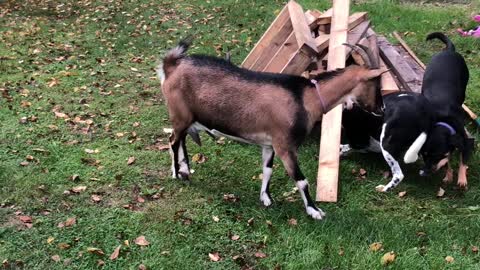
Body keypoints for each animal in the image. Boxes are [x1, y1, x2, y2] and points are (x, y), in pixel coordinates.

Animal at [156, 38, 388, 219]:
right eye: (376, 84)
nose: (382, 109)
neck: (306, 98)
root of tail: (171, 66)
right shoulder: (285, 145)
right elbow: (301, 180)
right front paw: (314, 211)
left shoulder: (269, 144)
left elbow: (267, 170)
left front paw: (265, 198)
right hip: (180, 115)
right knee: (173, 140)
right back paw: (176, 173)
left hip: (186, 118)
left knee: (181, 139)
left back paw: (185, 170)